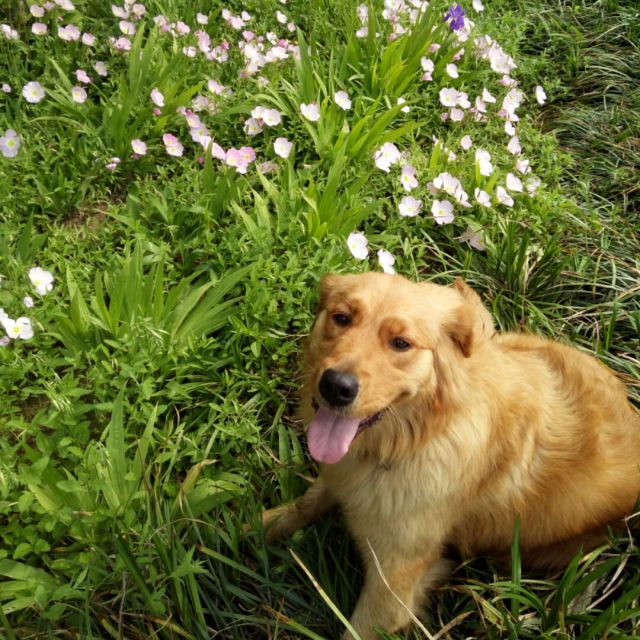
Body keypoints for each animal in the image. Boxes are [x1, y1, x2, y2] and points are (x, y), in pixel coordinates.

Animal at [262, 272, 640, 640]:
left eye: (401, 343)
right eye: (341, 318)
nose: (335, 386)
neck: (414, 439)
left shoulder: (393, 587)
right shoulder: (342, 477)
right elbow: (304, 503)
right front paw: (253, 528)